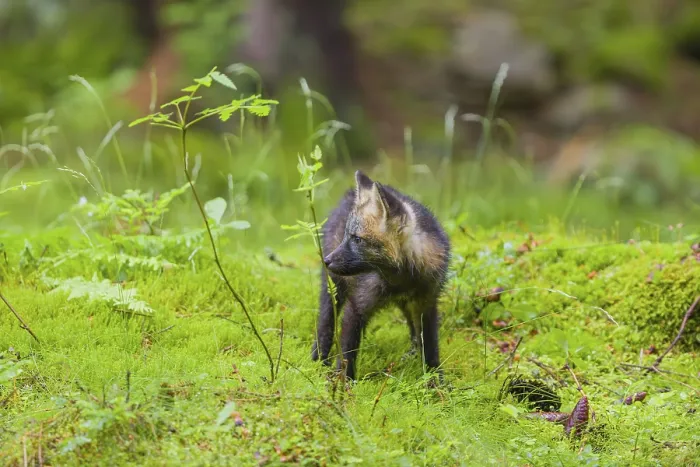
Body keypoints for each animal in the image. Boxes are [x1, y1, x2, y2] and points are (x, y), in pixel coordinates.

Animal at [311, 170, 451, 381]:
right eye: (346, 236)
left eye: (357, 239)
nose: (326, 260)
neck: (402, 280)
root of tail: (349, 194)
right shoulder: (357, 306)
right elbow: (347, 352)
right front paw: (344, 384)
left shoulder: (427, 303)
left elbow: (430, 346)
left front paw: (435, 380)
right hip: (334, 290)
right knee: (325, 325)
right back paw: (318, 360)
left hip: (406, 304)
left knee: (413, 331)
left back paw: (412, 354)